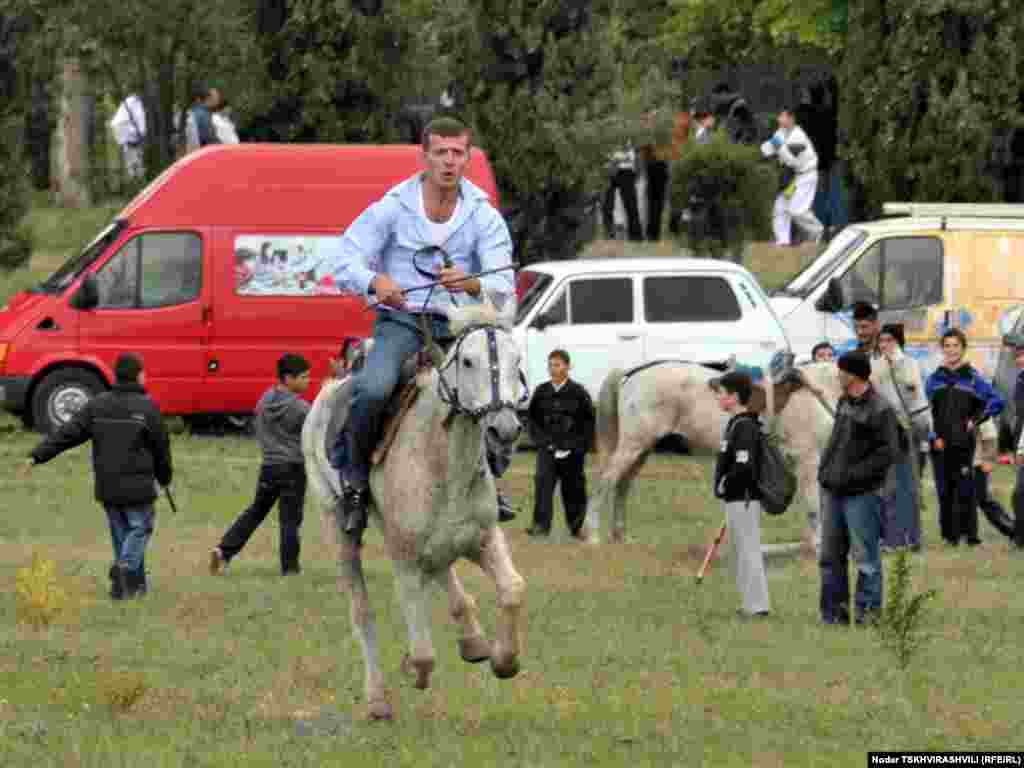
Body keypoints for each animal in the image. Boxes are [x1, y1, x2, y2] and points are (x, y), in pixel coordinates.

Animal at [301, 299, 528, 720]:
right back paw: (377, 699)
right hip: (337, 527)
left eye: (516, 359)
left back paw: (473, 641)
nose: (504, 429)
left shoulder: (484, 538)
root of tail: (328, 390)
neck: (442, 458)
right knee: (362, 612)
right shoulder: (403, 557)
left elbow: (512, 589)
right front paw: (412, 670)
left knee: (447, 575)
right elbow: (422, 652)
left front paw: (504, 660)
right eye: (468, 361)